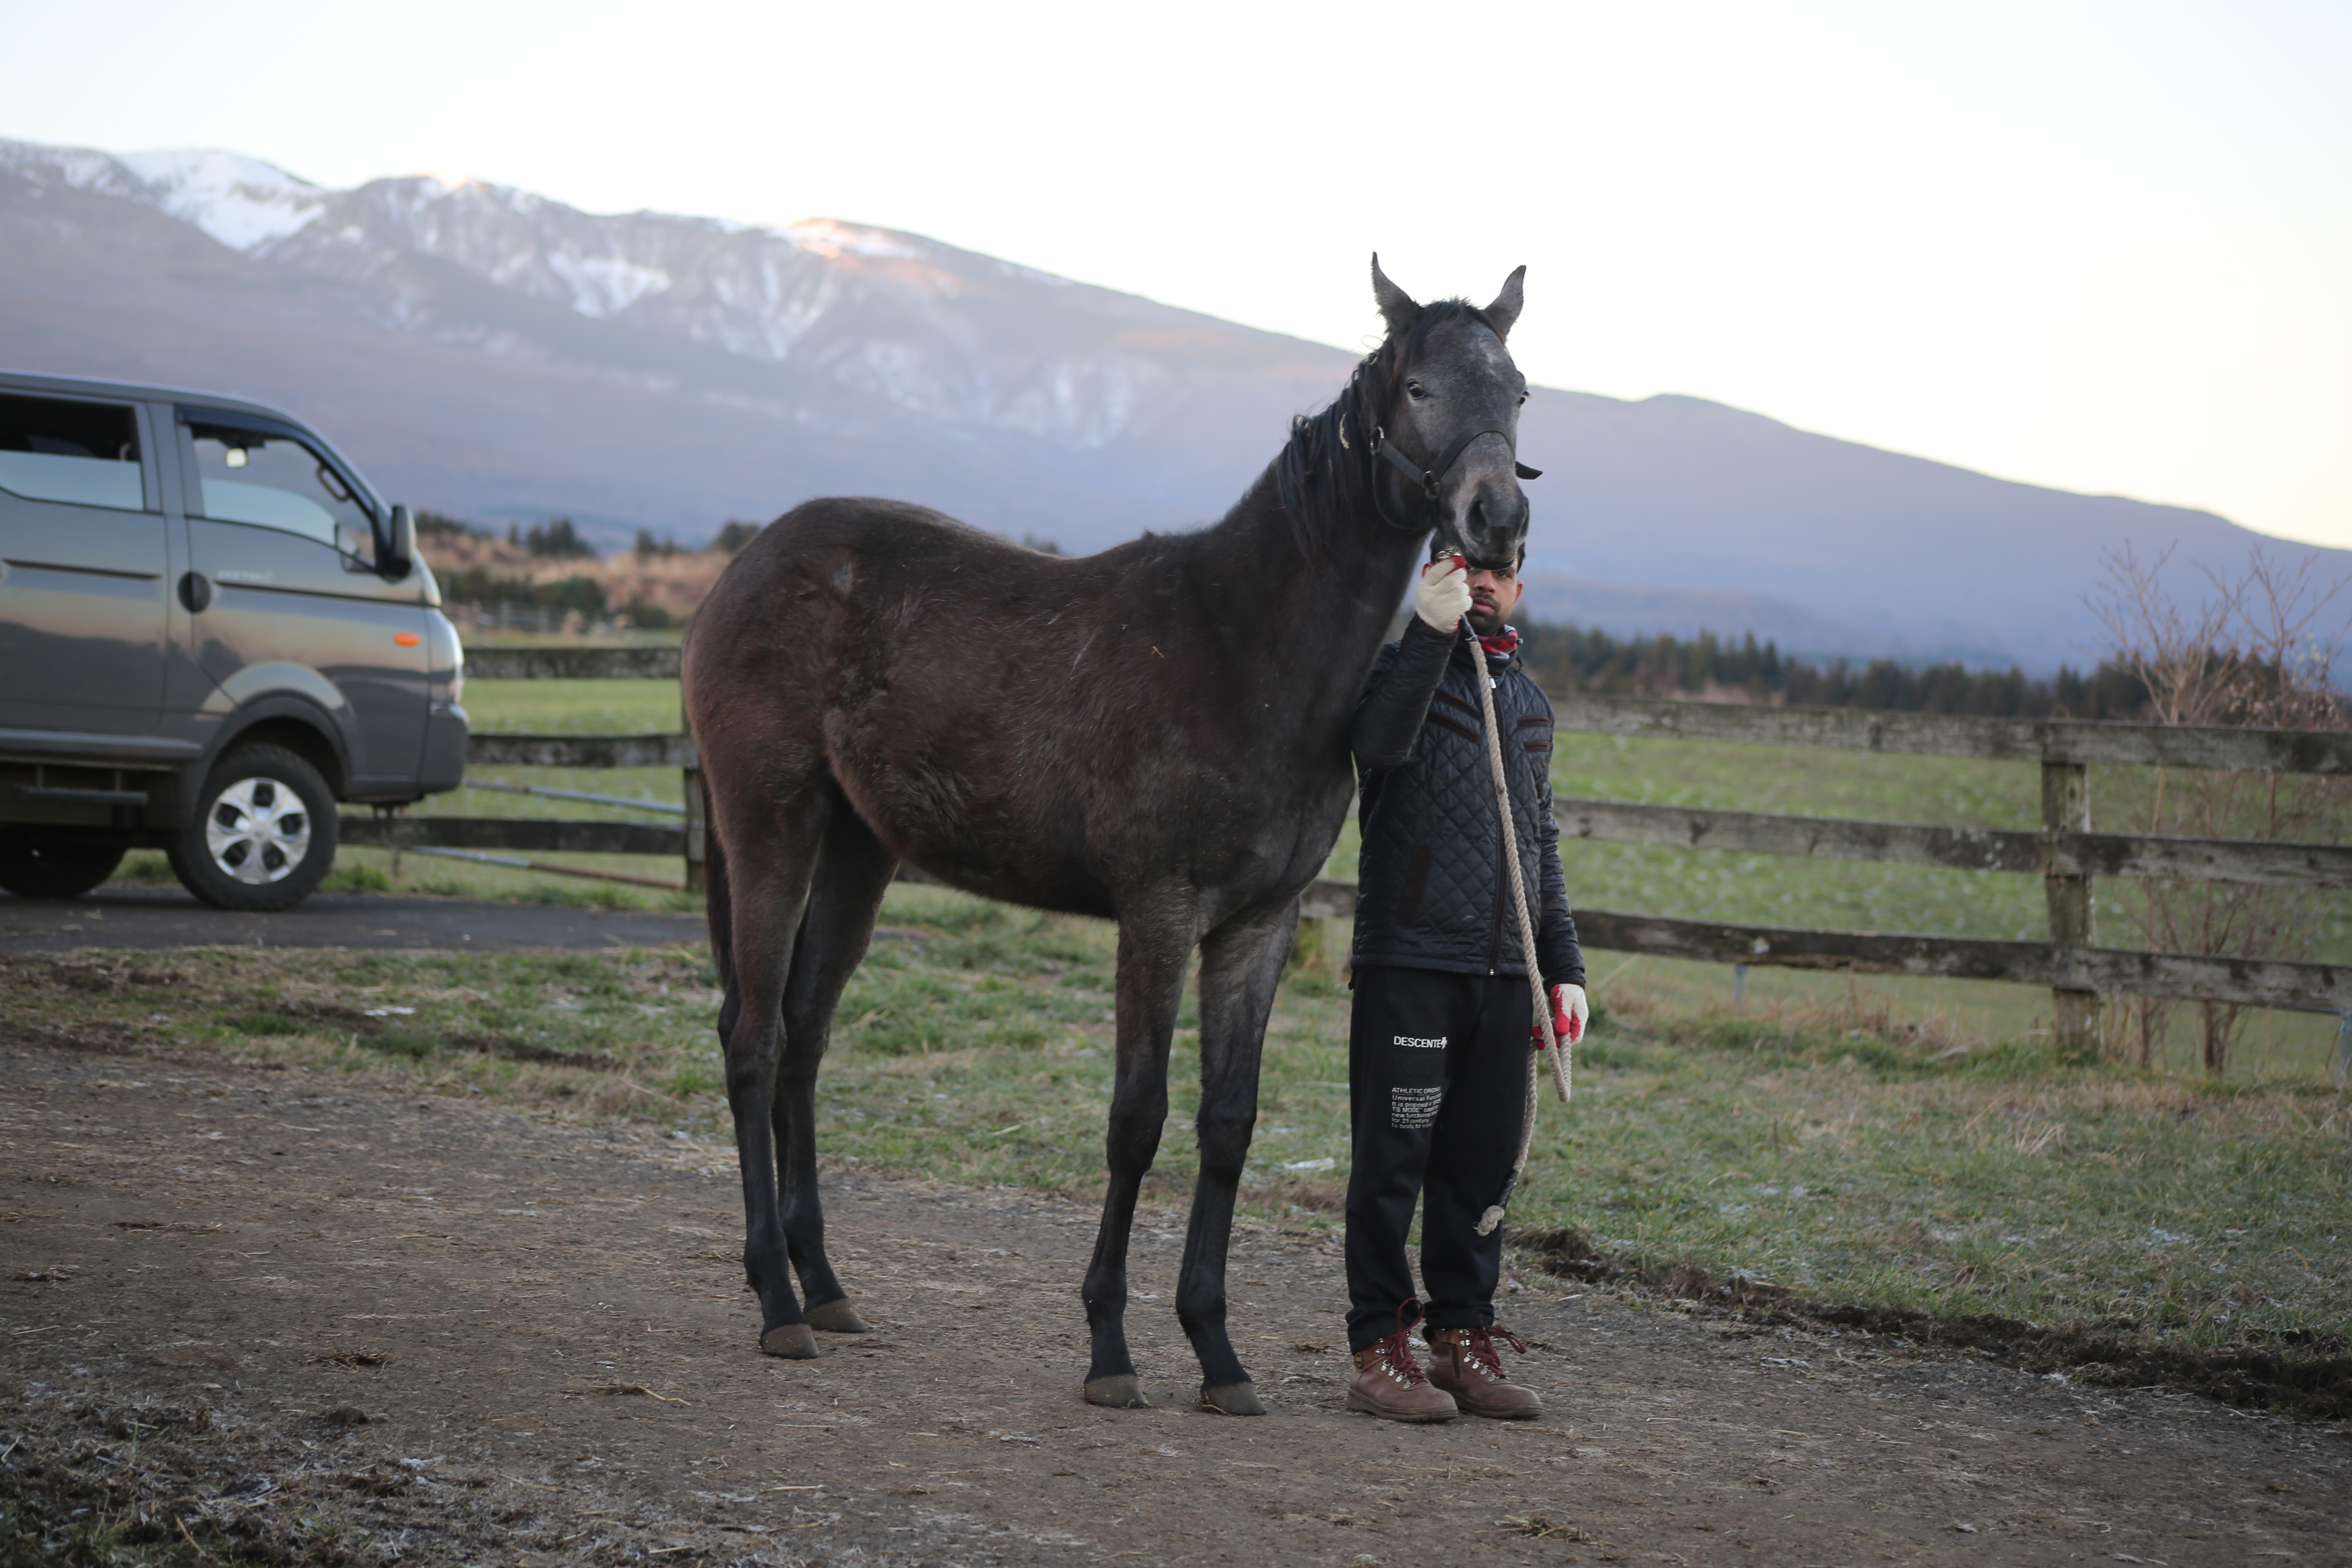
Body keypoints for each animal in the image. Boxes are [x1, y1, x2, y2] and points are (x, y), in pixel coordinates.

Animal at [677, 257, 1543, 1410]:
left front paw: (1217, 1352)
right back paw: (776, 1298)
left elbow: (1226, 1125)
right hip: (768, 824)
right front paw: (1111, 1348)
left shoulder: (1257, 927)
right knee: (755, 1038)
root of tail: (741, 570)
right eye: (1417, 387)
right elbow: (1137, 1120)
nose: (1497, 519)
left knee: (804, 1042)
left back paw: (823, 1286)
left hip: (860, 851)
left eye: (1518, 391)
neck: (1243, 649)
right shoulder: (1158, 912)